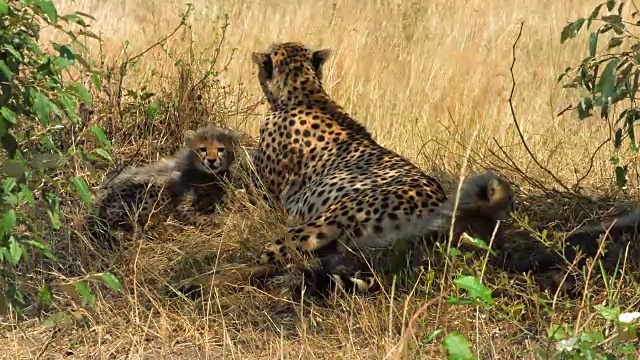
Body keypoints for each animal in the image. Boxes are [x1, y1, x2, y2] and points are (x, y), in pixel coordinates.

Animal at [87, 125, 240, 249]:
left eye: (221, 149)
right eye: (202, 149)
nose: (211, 160)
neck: (207, 176)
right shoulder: (181, 205)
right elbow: (198, 215)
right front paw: (212, 224)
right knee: (148, 225)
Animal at [179, 42, 516, 296]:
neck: (304, 91)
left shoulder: (263, 198)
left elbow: (232, 192)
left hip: (322, 221)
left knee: (270, 260)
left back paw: (195, 281)